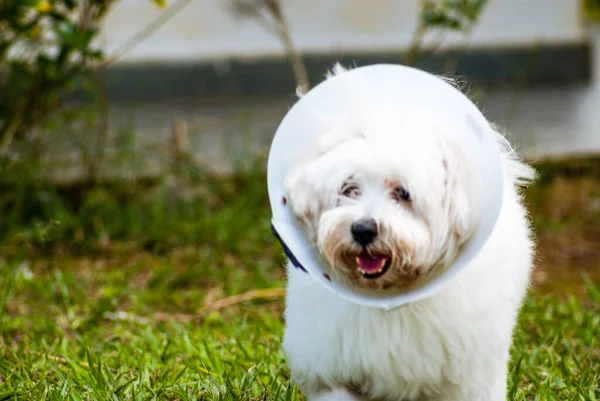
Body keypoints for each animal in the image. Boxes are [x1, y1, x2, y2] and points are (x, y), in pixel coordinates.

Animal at [282, 65, 536, 400]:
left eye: (403, 193)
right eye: (349, 189)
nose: (363, 229)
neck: (390, 298)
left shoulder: (467, 378)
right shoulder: (331, 372)